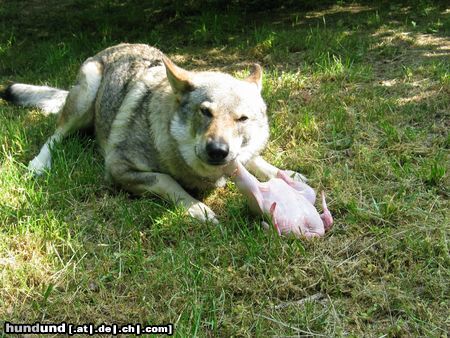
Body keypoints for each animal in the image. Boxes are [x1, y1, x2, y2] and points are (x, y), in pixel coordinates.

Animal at [0, 43, 306, 223]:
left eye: (242, 118)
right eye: (205, 112)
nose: (218, 151)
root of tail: (114, 46)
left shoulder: (242, 157)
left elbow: (256, 161)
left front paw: (287, 175)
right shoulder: (118, 169)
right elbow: (165, 180)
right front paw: (196, 207)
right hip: (85, 96)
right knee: (54, 136)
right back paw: (40, 164)